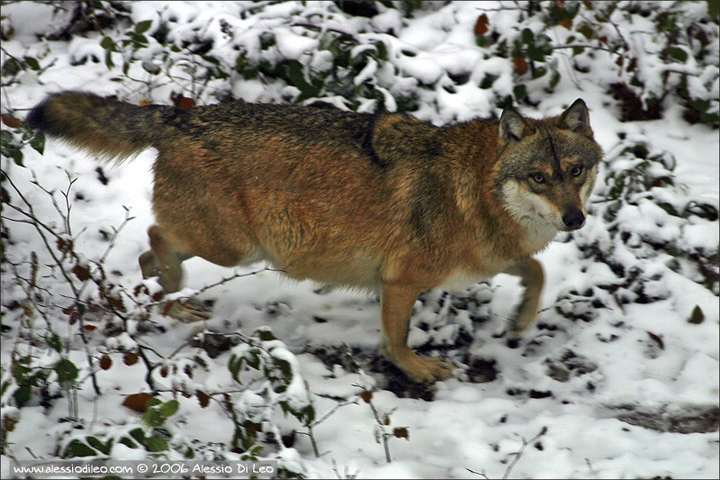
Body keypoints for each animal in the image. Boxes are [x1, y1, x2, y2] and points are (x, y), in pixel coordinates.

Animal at [26, 93, 600, 382]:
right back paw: (172, 298)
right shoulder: (399, 281)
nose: (574, 219)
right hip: (232, 248)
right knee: (153, 239)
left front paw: (521, 320)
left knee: (150, 255)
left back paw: (161, 298)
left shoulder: (491, 259)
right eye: (539, 178)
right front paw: (418, 370)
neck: (473, 189)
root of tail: (180, 117)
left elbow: (537, 271)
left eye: (575, 171)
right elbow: (396, 342)